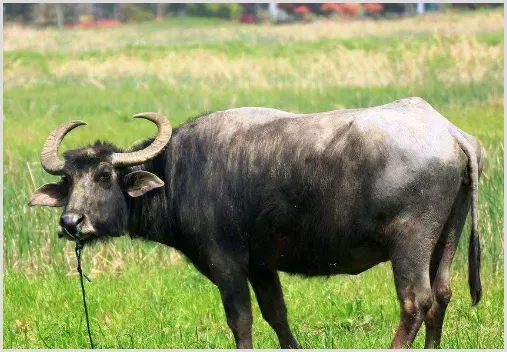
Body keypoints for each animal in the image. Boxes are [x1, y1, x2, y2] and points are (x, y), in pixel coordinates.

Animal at [30, 97, 484, 348]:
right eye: (68, 180)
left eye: (105, 175)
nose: (71, 222)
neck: (179, 173)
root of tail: (449, 133)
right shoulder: (262, 265)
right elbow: (276, 314)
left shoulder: (227, 262)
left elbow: (241, 319)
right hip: (448, 234)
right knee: (441, 295)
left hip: (410, 242)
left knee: (415, 301)